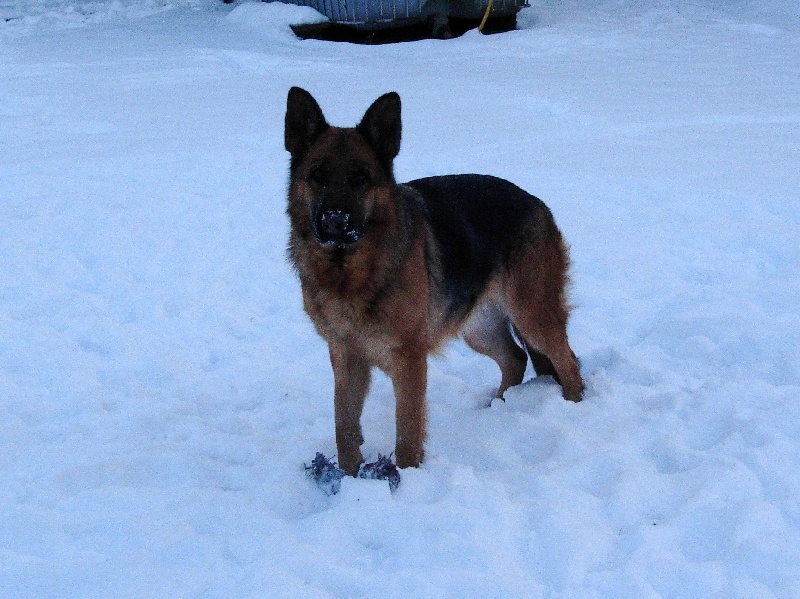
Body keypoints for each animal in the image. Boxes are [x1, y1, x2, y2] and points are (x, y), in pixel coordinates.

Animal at [284, 86, 584, 476]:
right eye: (318, 175)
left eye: (360, 178)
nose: (336, 222)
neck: (350, 273)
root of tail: (538, 203)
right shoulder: (345, 358)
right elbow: (344, 426)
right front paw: (349, 476)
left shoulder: (409, 359)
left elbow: (408, 432)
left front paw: (405, 479)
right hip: (479, 328)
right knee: (516, 359)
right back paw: (500, 408)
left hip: (532, 315)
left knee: (567, 359)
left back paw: (573, 405)